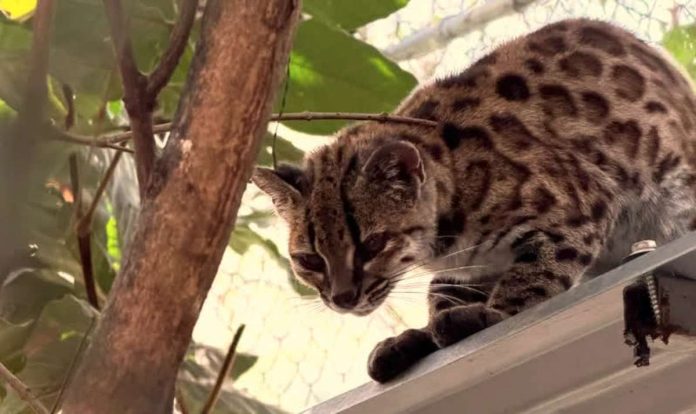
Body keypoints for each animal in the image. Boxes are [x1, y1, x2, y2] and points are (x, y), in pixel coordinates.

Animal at [252, 18, 696, 383]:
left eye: (373, 245)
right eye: (309, 260)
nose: (343, 299)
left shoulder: (579, 206)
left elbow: (535, 274)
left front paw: (493, 314)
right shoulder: (466, 268)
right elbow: (441, 295)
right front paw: (418, 335)